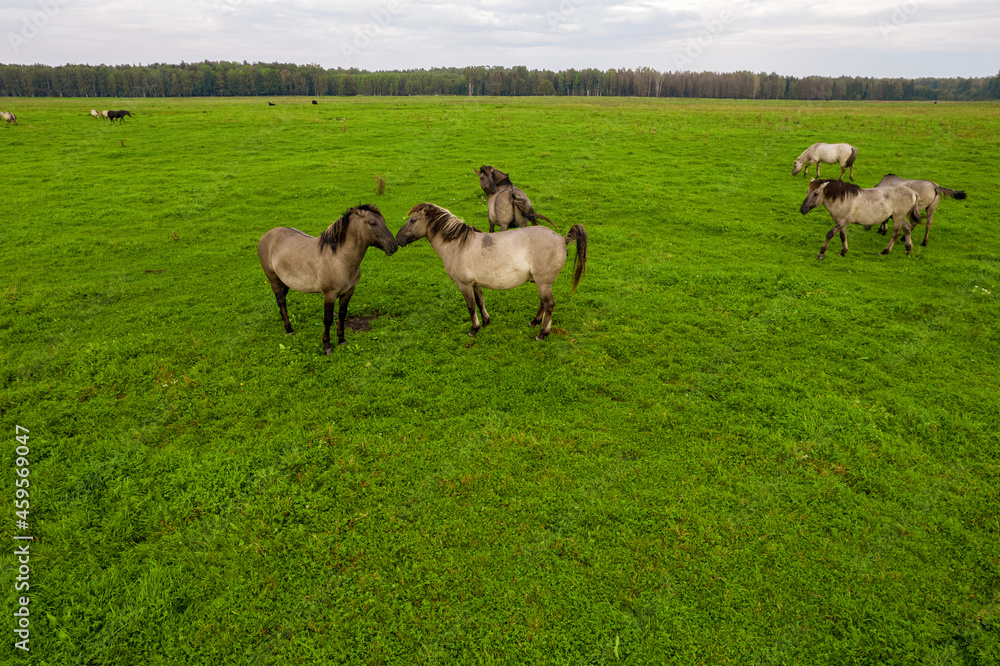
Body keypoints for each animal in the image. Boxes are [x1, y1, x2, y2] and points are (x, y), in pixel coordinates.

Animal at [258, 202, 398, 352]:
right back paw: (289, 329)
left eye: (383, 221)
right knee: (281, 300)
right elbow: (328, 319)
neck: (339, 258)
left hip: (285, 281)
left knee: (282, 300)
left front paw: (342, 340)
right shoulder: (329, 295)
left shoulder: (348, 292)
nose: (393, 246)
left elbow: (342, 315)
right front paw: (327, 345)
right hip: (273, 279)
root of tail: (266, 236)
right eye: (372, 222)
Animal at [396, 202, 584, 340]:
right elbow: (480, 302)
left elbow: (471, 306)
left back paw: (542, 333)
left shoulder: (464, 285)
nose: (398, 239)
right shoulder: (475, 283)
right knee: (543, 303)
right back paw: (534, 322)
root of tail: (562, 239)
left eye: (412, 221)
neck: (458, 245)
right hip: (541, 282)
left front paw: (474, 329)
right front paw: (486, 322)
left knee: (549, 304)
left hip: (543, 282)